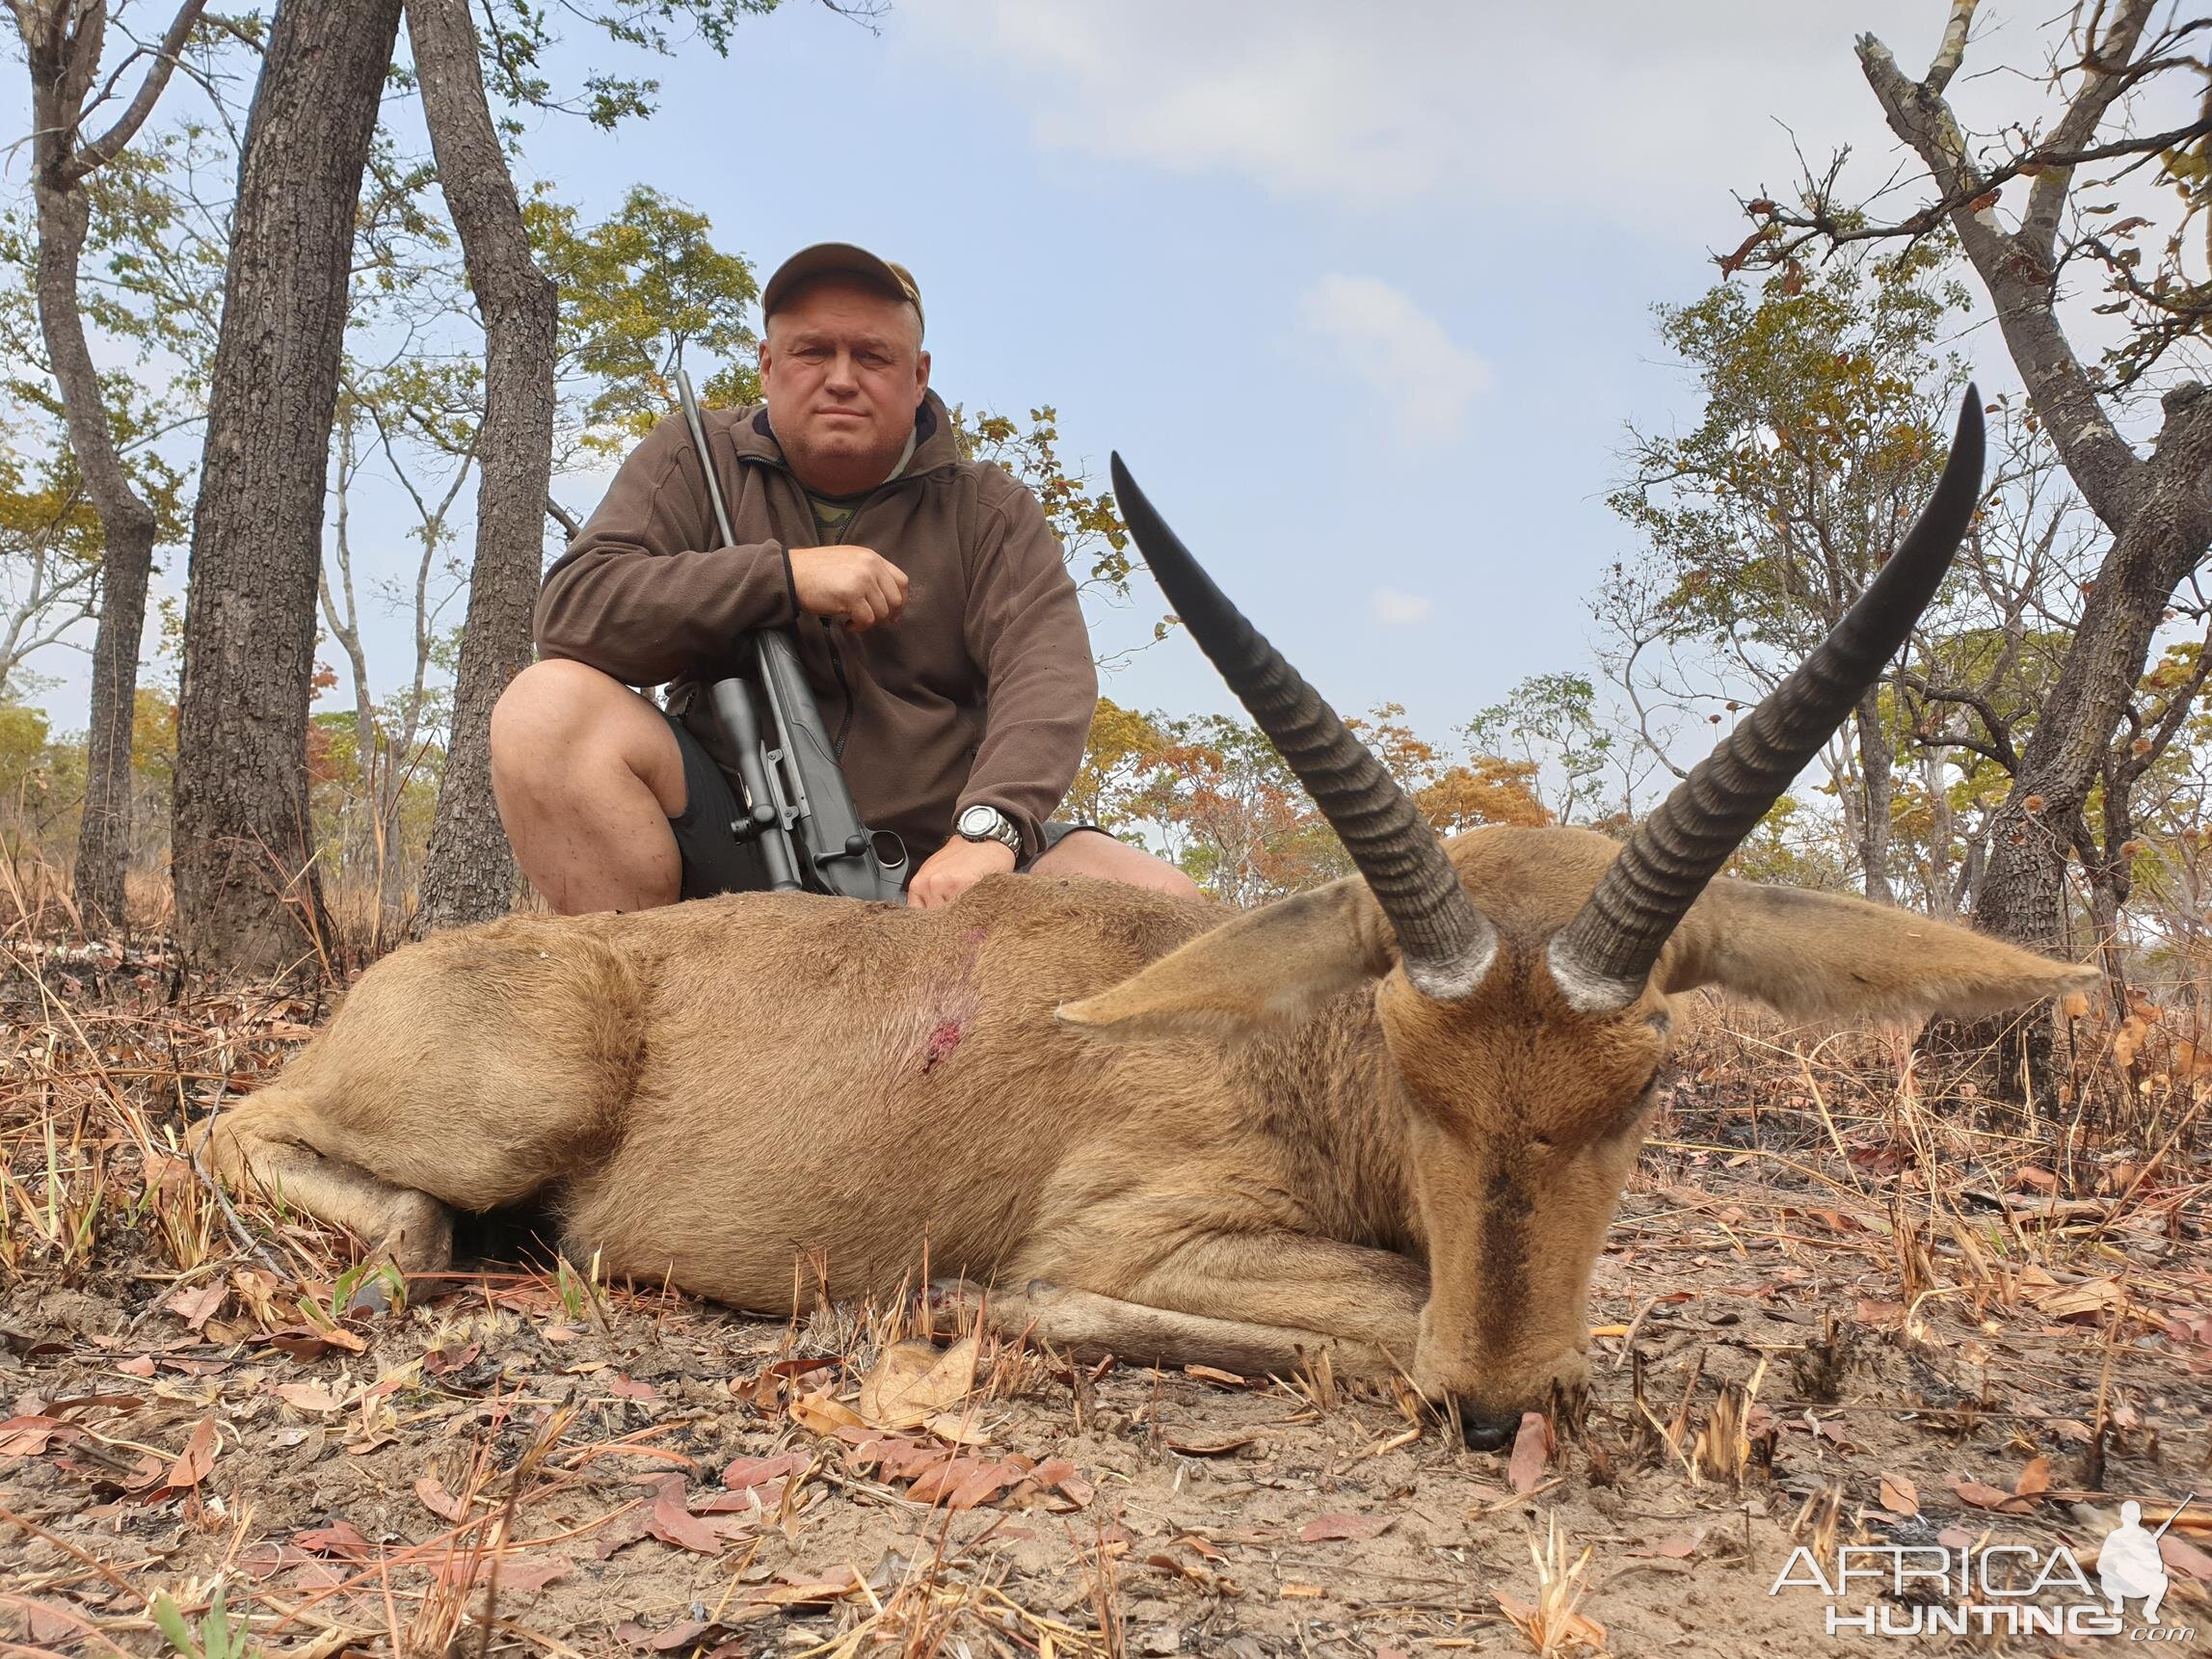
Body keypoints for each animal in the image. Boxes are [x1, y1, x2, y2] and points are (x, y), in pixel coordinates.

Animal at [203, 388, 2088, 1442]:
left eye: (1645, 1088)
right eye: (1410, 1067)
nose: (1491, 1409)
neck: (1295, 1072)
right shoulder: (1142, 1232)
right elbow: (1359, 1306)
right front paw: (997, 1311)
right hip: (497, 1103)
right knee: (278, 1155)